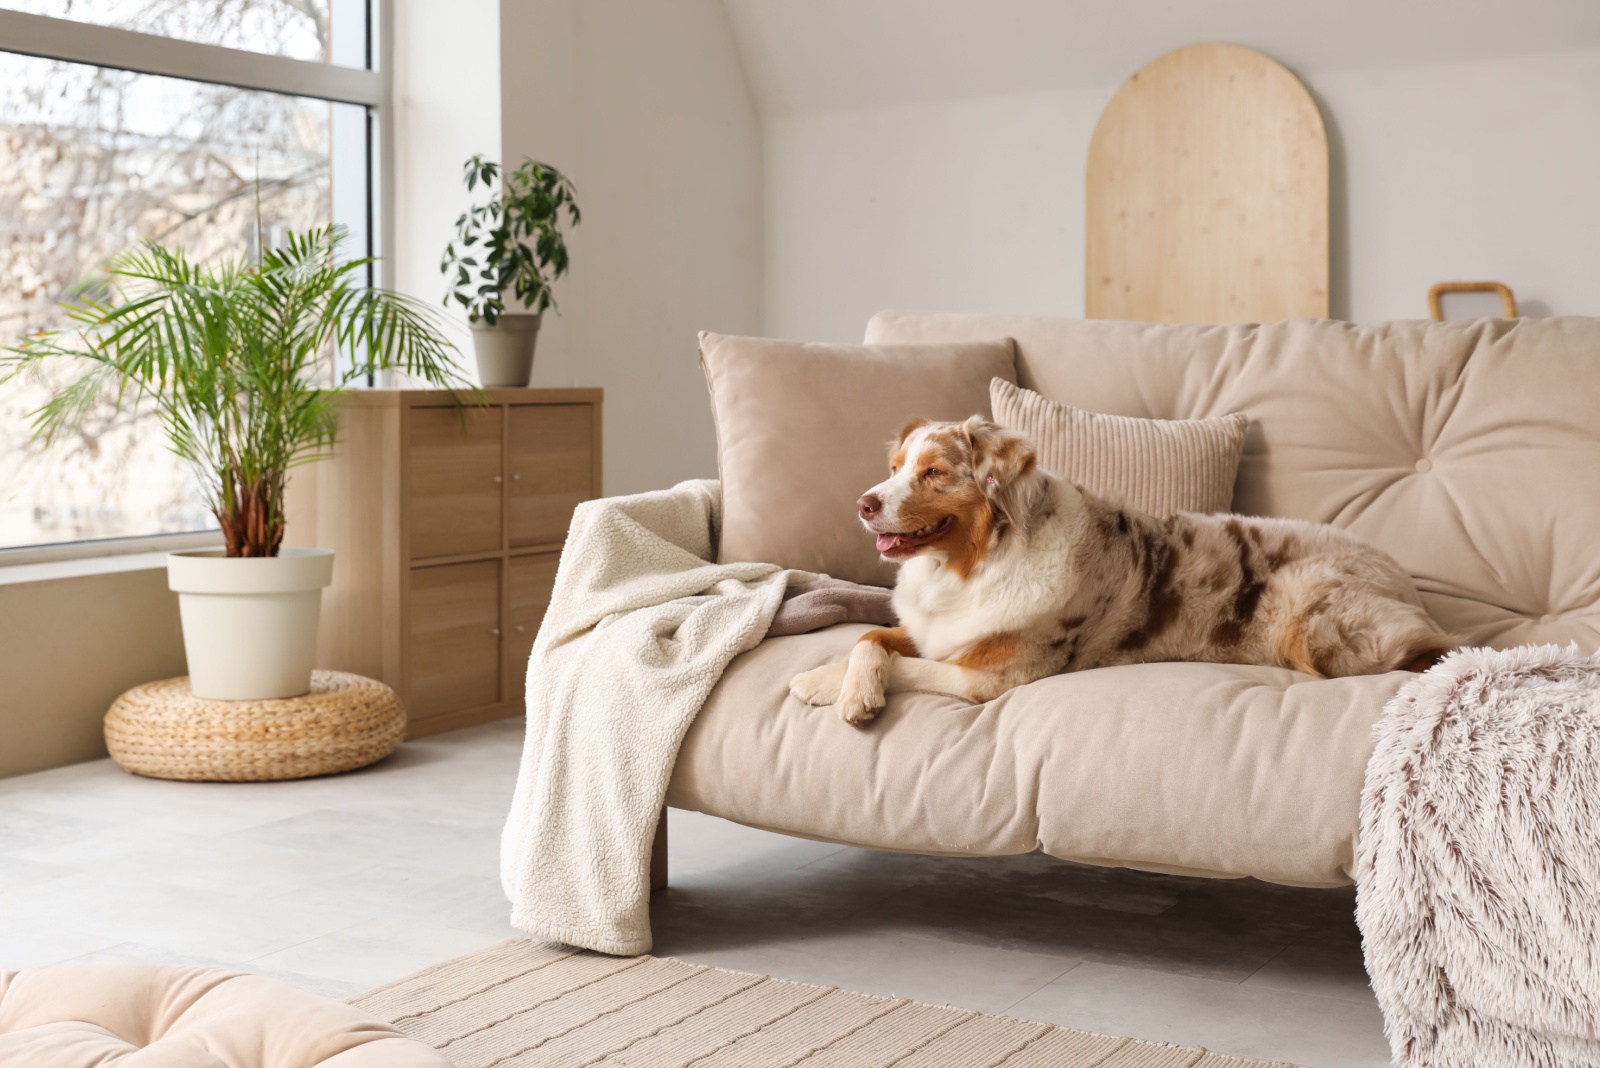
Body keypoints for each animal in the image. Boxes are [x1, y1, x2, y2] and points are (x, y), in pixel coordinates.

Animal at [787, 415, 1452, 725]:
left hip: (1312, 621)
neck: (972, 564)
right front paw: (830, 679)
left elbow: (906, 665)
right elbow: (873, 640)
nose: (863, 503)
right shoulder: (937, 631)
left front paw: (842, 694)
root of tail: (1401, 577)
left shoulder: (997, 677)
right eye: (896, 467)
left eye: (933, 473)